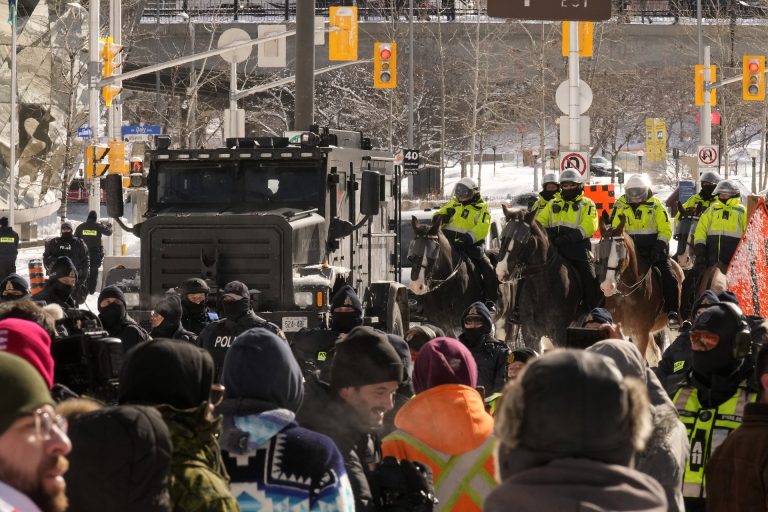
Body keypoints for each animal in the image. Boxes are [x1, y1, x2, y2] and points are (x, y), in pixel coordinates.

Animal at [492, 206, 584, 350]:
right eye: (503, 239)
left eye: (522, 242)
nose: (501, 271)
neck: (543, 290)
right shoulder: (530, 334)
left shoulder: (560, 334)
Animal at [592, 214, 684, 366]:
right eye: (600, 249)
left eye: (620, 251)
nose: (607, 286)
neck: (625, 296)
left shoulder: (640, 335)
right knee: (654, 354)